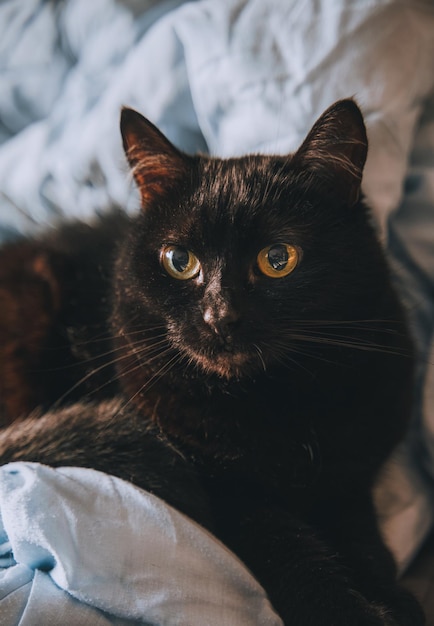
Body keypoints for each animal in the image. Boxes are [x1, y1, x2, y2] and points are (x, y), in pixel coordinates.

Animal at [0, 100, 424, 620]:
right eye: (179, 260)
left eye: (278, 258)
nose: (219, 316)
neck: (277, 403)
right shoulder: (226, 494)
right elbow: (294, 553)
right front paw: (347, 611)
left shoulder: (348, 478)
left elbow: (366, 543)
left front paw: (395, 599)